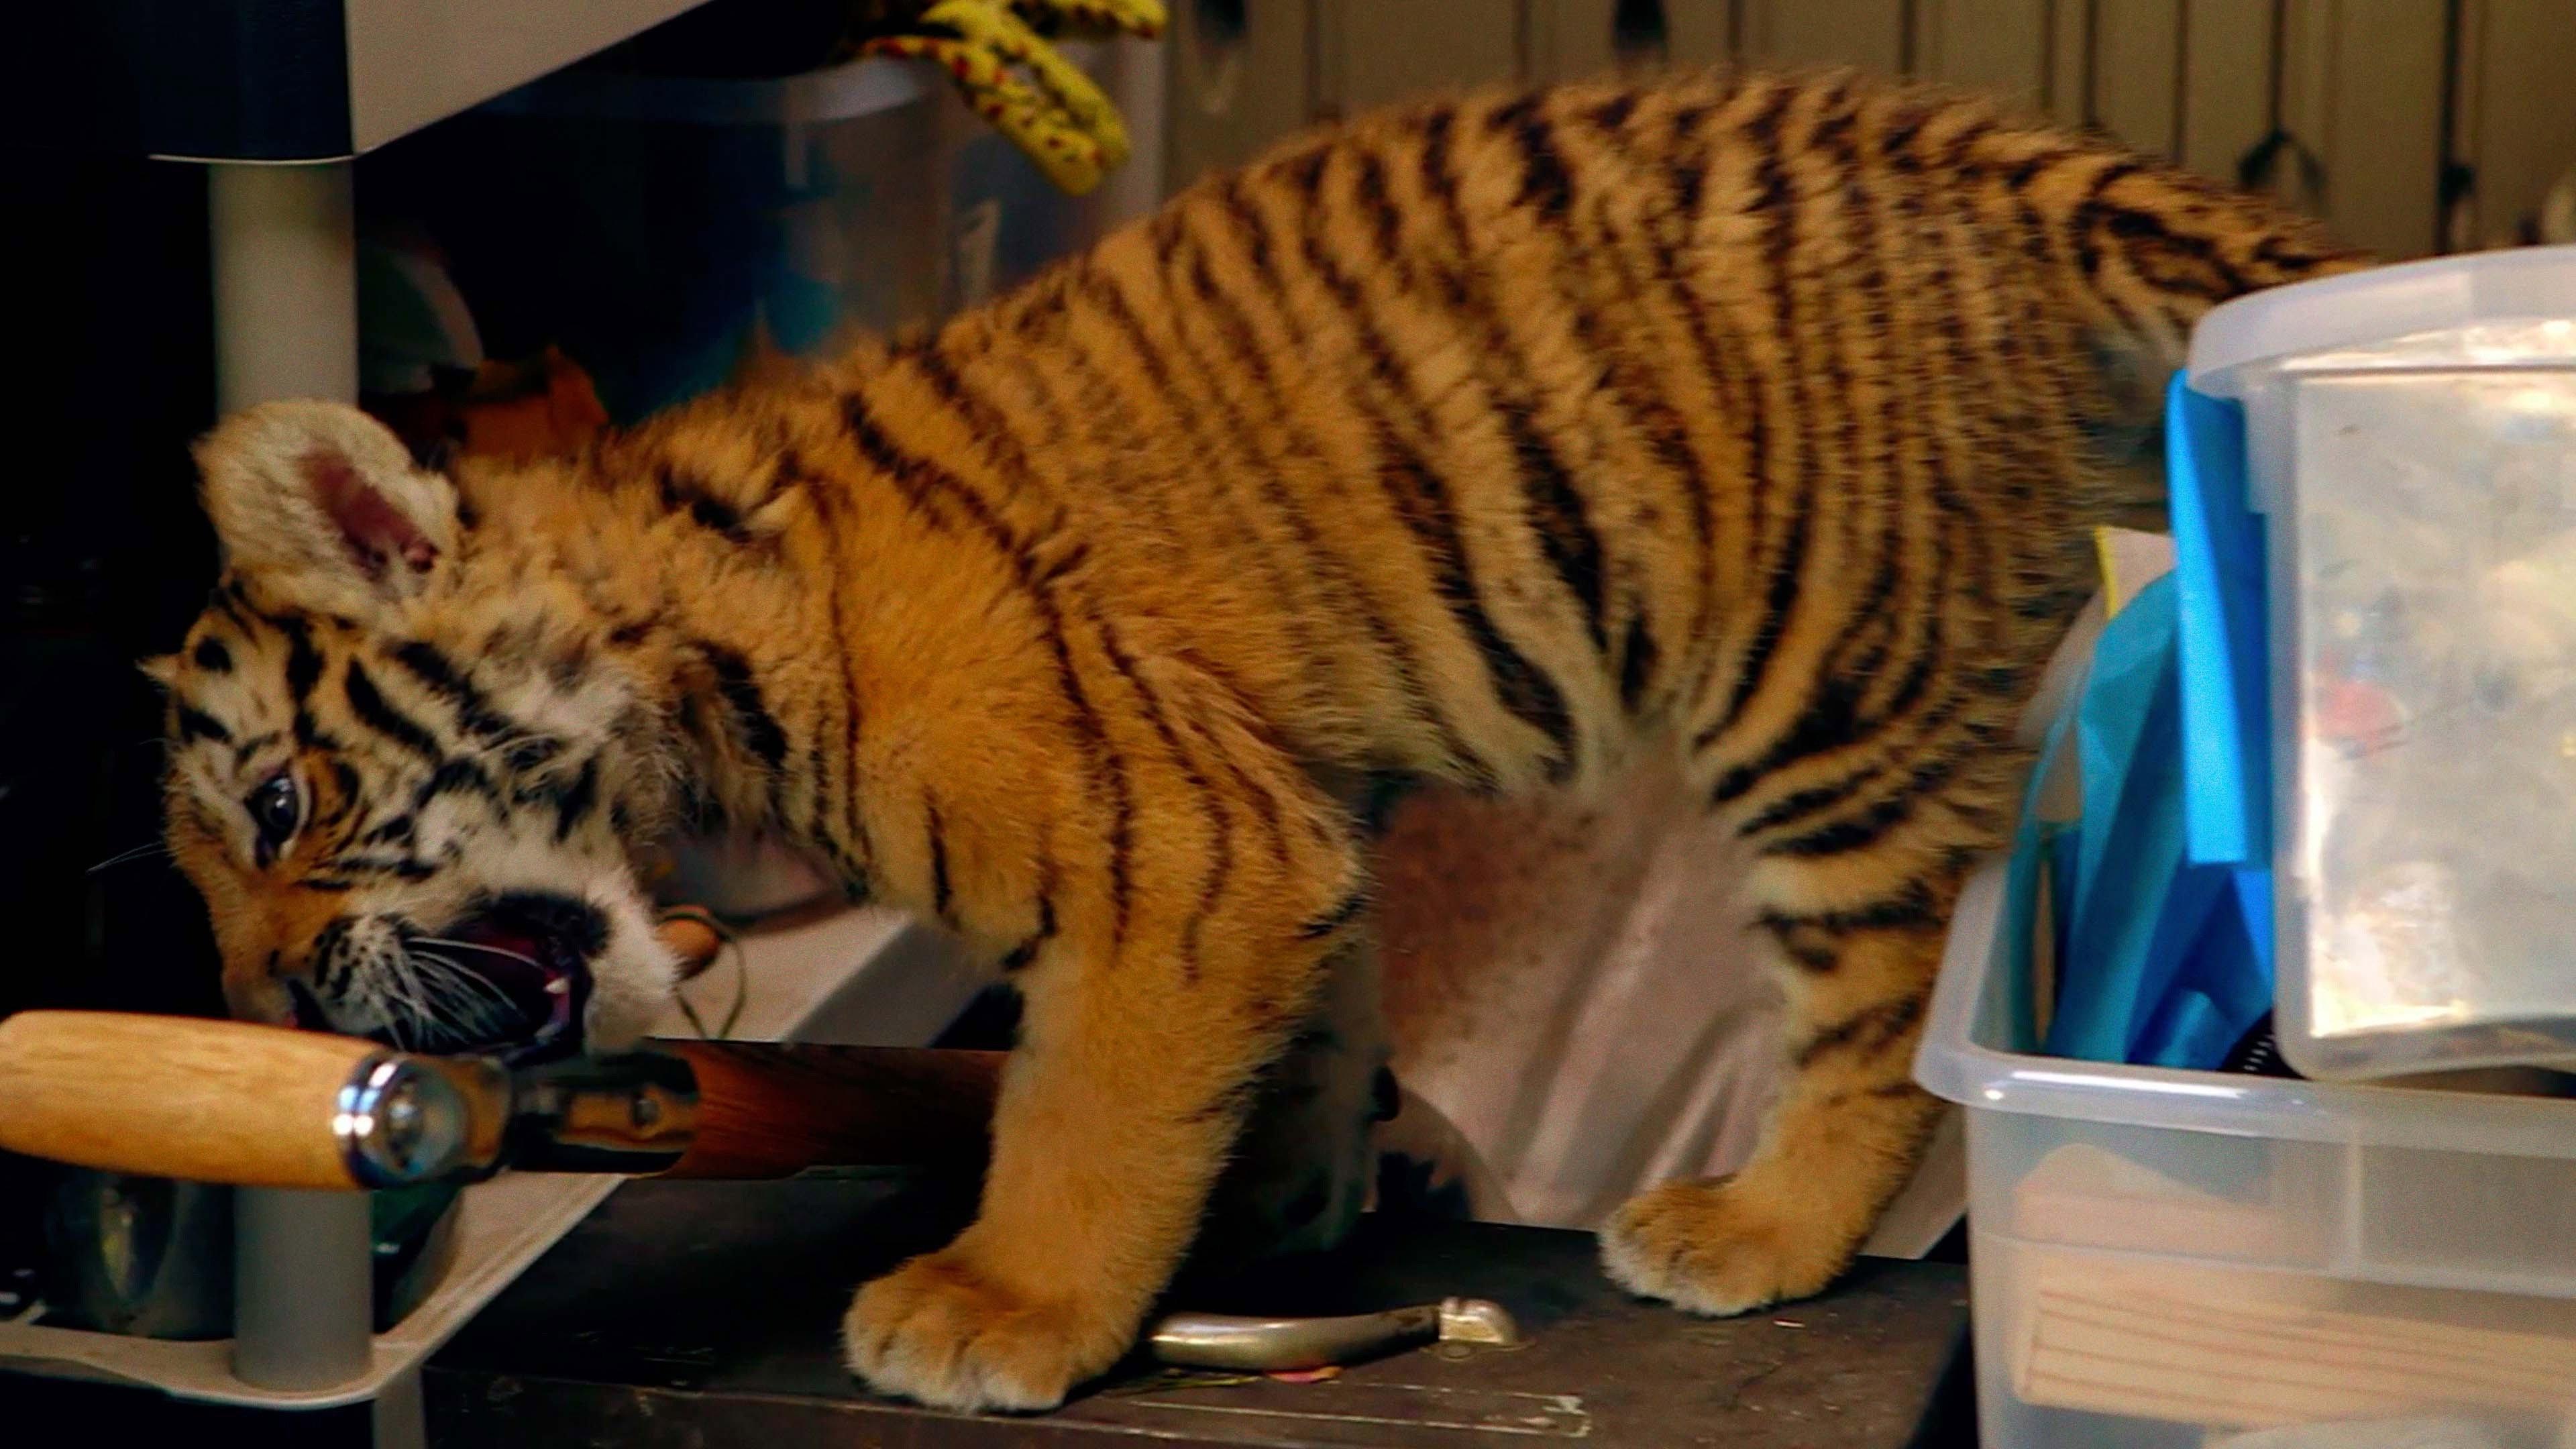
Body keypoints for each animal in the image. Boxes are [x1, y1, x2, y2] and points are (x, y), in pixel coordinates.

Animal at [151, 68, 2361, 1412]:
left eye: (279, 804)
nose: (261, 1015)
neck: (688, 629)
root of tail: (1984, 149)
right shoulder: (1275, 823)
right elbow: (1296, 1025)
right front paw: (1287, 1199)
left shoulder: (1173, 854)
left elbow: (1081, 1109)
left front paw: (1003, 1303)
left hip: (1824, 688)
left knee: (1881, 1002)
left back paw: (1753, 1228)